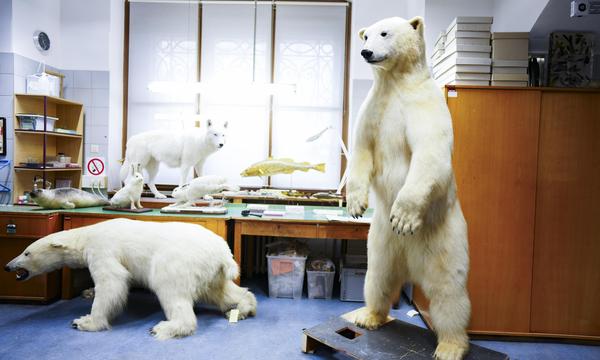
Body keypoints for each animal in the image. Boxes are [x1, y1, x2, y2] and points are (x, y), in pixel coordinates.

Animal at [4, 219, 258, 340]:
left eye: (26, 252)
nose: (8, 266)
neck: (86, 235)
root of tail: (223, 253)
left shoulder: (102, 249)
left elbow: (112, 281)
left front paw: (85, 321)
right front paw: (87, 293)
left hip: (179, 261)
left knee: (170, 289)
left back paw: (164, 327)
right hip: (211, 271)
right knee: (221, 291)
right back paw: (242, 309)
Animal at [350, 16, 472, 360]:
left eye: (384, 33)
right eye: (366, 35)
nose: (366, 52)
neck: (395, 83)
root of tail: (412, 268)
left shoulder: (423, 104)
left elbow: (430, 153)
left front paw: (404, 217)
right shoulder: (373, 109)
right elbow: (362, 149)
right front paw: (355, 203)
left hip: (445, 241)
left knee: (449, 293)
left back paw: (451, 345)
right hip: (380, 242)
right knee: (377, 277)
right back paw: (369, 315)